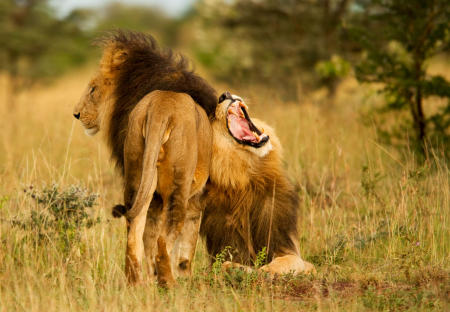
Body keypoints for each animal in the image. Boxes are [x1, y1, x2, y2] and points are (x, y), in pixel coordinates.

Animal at [72, 31, 216, 286]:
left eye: (92, 89)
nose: (76, 114)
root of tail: (161, 109)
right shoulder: (196, 197)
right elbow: (185, 247)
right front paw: (184, 277)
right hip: (179, 183)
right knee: (165, 236)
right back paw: (168, 283)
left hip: (136, 173)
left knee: (134, 230)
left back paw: (136, 282)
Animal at [199, 92, 314, 276]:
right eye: (212, 116)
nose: (224, 94)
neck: (249, 177)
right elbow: (225, 265)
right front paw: (242, 270)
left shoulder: (289, 248)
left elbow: (288, 260)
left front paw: (267, 271)